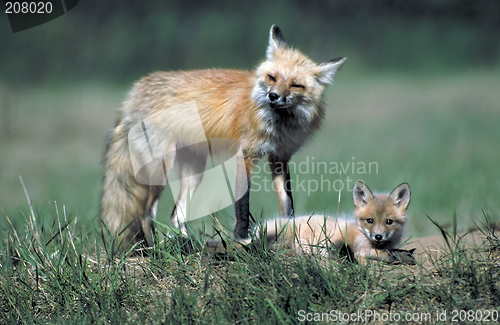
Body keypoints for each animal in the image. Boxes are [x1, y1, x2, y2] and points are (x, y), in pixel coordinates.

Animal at [99, 25, 346, 249]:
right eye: (272, 77)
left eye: (295, 85)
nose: (273, 96)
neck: (278, 122)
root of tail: (135, 93)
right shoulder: (244, 157)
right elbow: (242, 205)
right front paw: (243, 239)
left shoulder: (279, 158)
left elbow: (288, 205)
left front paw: (291, 234)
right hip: (160, 168)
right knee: (146, 214)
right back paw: (154, 251)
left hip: (194, 172)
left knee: (176, 215)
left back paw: (186, 245)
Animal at [262, 181, 414, 262]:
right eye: (370, 220)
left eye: (389, 221)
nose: (378, 236)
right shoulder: (334, 242)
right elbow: (353, 254)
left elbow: (386, 252)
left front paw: (399, 255)